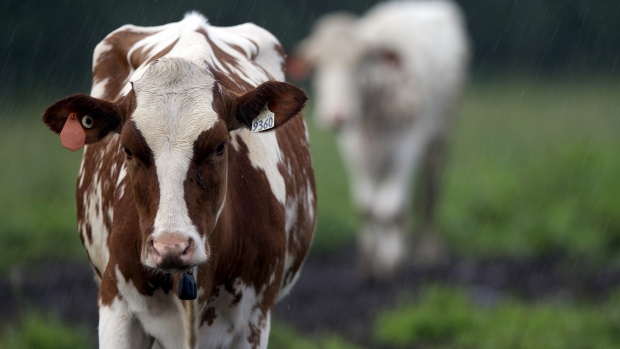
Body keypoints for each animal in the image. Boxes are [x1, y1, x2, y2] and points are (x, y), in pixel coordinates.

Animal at [290, 0, 470, 278]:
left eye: (361, 62)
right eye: (317, 66)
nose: (337, 116)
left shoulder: (408, 143)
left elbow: (392, 208)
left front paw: (392, 264)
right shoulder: (355, 146)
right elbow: (367, 206)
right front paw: (370, 262)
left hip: (439, 140)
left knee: (430, 195)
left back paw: (428, 253)